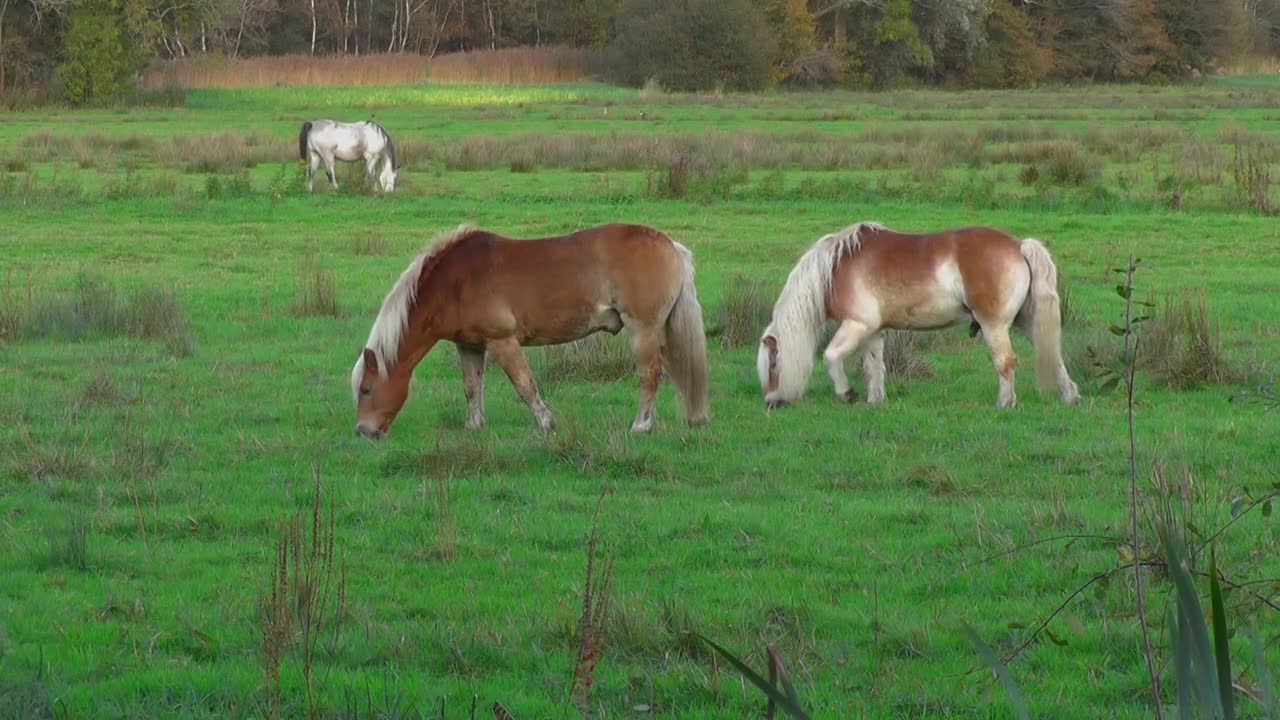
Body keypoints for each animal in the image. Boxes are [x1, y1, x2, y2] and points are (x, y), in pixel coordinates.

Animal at [350, 224, 711, 438]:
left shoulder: (502, 342)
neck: (454, 282)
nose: (363, 432)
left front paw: (546, 423)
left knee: (649, 375)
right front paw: (474, 426)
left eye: (366, 389)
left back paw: (641, 425)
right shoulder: (470, 346)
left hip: (643, 329)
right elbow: (471, 387)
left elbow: (525, 385)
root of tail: (670, 244)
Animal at [757, 219, 1080, 409]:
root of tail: (1019, 245)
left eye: (773, 365)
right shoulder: (873, 331)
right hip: (1027, 321)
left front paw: (847, 393)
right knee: (1051, 354)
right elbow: (874, 367)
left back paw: (1005, 403)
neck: (836, 268)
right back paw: (1070, 396)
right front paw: (876, 401)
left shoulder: (857, 324)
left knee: (1006, 362)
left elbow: (831, 356)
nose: (772, 402)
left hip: (994, 326)